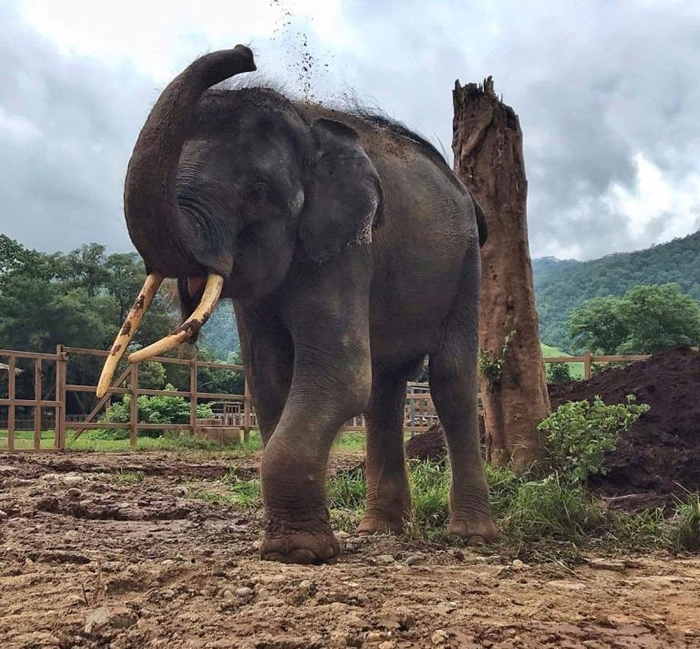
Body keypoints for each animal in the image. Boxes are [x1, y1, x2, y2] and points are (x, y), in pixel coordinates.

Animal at [98, 44, 498, 560]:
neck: (306, 123)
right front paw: (293, 546)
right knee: (383, 387)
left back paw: (471, 537)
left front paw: (298, 553)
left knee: (449, 378)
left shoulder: (346, 246)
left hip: (467, 265)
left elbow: (340, 376)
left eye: (257, 193)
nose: (245, 52)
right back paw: (379, 531)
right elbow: (269, 379)